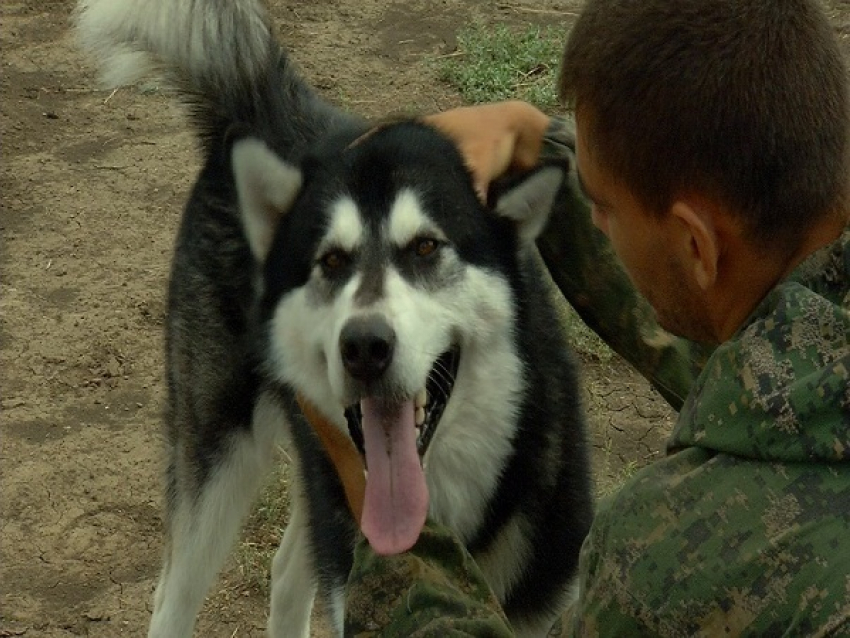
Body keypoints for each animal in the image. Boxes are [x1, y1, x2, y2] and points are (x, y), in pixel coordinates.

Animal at [76, 2, 592, 636]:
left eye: (425, 248)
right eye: (330, 261)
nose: (364, 346)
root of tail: (270, 111)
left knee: (286, 571)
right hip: (216, 458)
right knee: (174, 595)